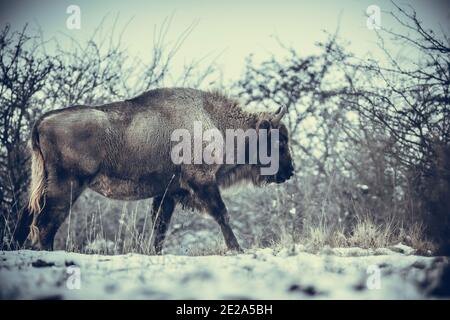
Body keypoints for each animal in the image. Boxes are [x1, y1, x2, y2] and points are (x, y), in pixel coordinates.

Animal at [11, 87, 296, 252]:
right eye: (279, 140)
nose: (290, 171)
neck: (215, 122)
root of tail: (43, 120)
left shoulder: (168, 193)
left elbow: (160, 228)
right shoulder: (202, 181)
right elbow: (221, 214)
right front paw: (237, 249)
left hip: (43, 185)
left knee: (27, 217)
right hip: (67, 186)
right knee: (46, 223)